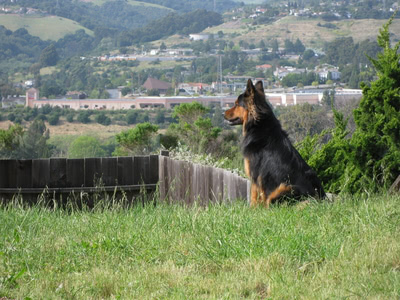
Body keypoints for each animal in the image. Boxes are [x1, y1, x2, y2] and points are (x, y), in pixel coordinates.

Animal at [223, 78, 326, 207]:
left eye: (236, 104)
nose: (223, 114)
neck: (258, 125)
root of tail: (320, 199)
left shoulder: (255, 175)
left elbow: (253, 196)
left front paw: (252, 210)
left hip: (284, 188)